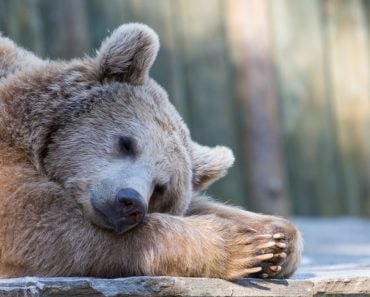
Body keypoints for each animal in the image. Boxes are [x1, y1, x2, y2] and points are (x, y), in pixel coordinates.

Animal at [0, 23, 300, 280]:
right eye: (126, 143)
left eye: (160, 188)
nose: (129, 201)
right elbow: (38, 222)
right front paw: (238, 244)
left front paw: (276, 240)